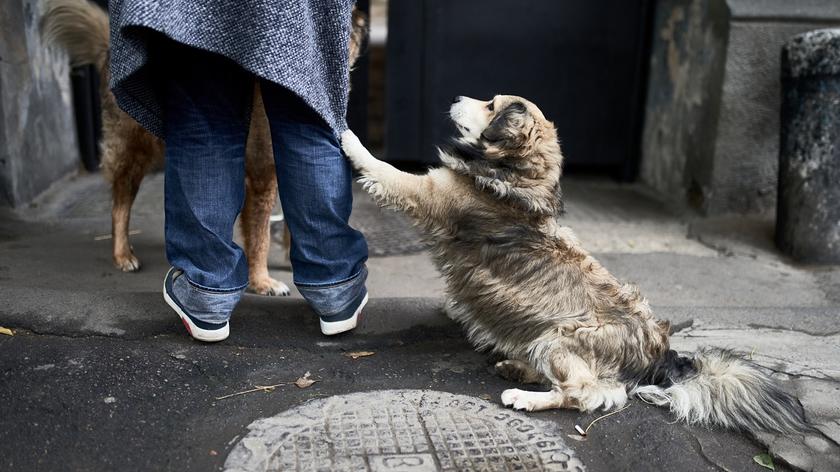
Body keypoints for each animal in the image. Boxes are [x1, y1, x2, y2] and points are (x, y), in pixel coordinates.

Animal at [41, 0, 366, 296]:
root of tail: (111, 48)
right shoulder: (261, 176)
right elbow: (259, 236)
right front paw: (262, 282)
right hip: (134, 148)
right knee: (120, 202)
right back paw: (123, 254)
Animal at [342, 95, 812, 436]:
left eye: (492, 104)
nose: (457, 96)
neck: (520, 174)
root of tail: (660, 354)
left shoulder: (428, 194)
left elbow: (385, 169)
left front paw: (347, 133)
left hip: (561, 338)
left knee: (584, 394)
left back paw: (526, 396)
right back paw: (520, 368)